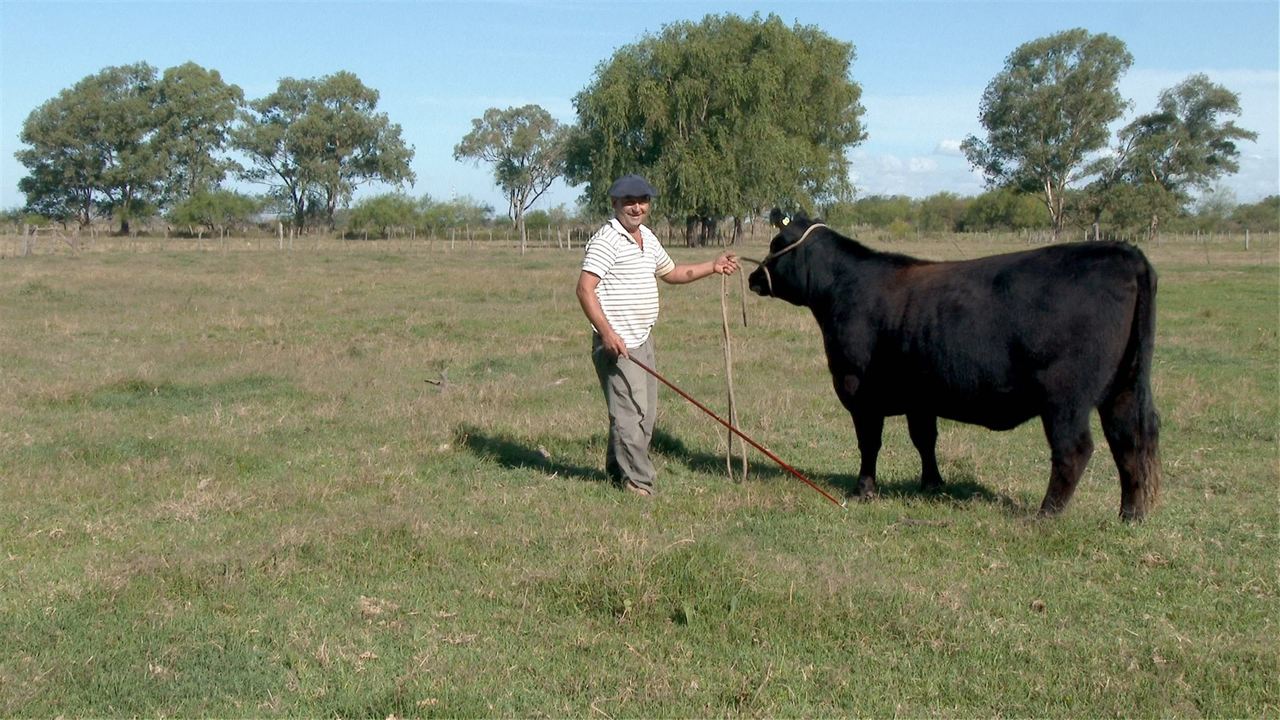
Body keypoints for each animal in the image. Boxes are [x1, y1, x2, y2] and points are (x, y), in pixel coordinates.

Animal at [747, 210, 1162, 517]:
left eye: (776, 244)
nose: (753, 276)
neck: (845, 288)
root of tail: (1124, 253)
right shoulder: (920, 397)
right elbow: (924, 439)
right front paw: (932, 484)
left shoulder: (859, 391)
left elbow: (870, 444)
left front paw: (863, 489)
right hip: (1123, 388)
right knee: (1129, 442)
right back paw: (1131, 515)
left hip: (1065, 397)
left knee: (1074, 449)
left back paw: (1046, 514)